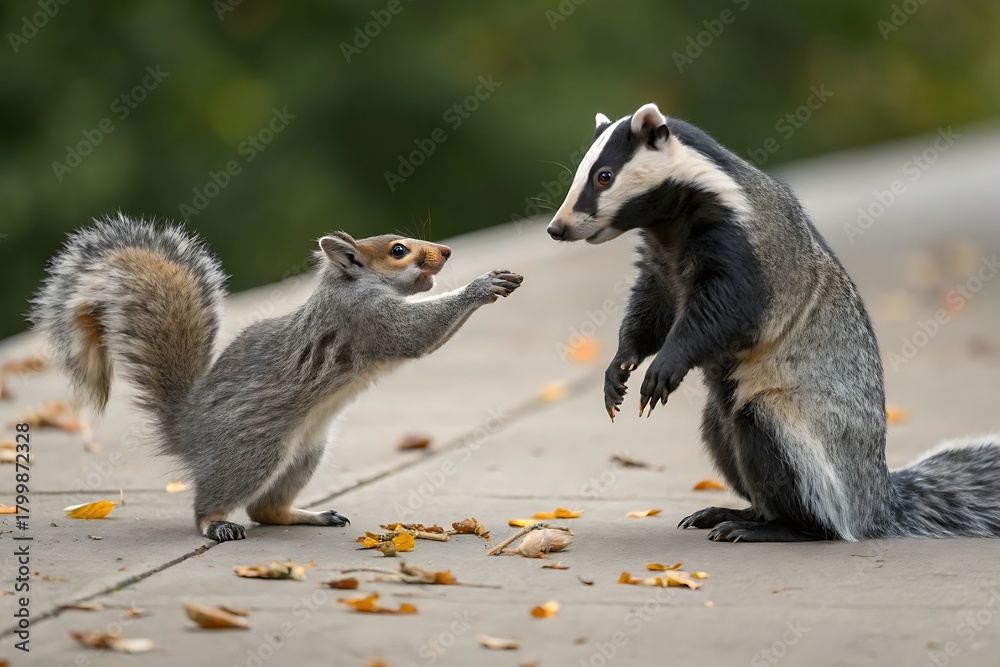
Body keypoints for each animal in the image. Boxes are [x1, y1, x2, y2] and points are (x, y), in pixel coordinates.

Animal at [31, 214, 523, 542]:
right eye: (398, 250)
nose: (446, 252)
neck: (349, 286)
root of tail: (187, 431)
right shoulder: (367, 319)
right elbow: (415, 333)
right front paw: (481, 285)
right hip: (253, 450)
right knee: (215, 504)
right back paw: (215, 523)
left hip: (306, 449)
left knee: (266, 509)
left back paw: (310, 515)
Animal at [547, 102, 1000, 542]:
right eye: (582, 173)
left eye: (604, 177)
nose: (557, 227)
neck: (673, 226)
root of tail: (877, 501)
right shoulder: (662, 260)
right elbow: (650, 306)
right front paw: (618, 369)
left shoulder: (745, 248)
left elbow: (725, 310)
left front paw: (663, 368)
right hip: (720, 416)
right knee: (721, 432)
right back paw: (733, 512)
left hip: (796, 425)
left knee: (769, 438)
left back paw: (775, 527)